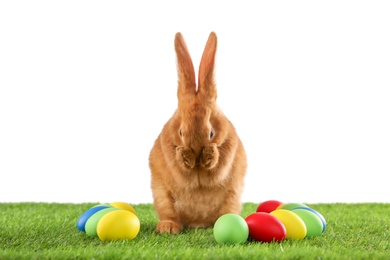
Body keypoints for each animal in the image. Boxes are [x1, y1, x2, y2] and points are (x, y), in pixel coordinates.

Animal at [149, 32, 247, 234]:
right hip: (162, 197)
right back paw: (168, 228)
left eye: (211, 133)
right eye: (181, 131)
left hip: (232, 198)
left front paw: (209, 153)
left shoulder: (227, 153)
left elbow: (216, 168)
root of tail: (197, 223)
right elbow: (182, 169)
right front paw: (185, 155)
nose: (195, 152)